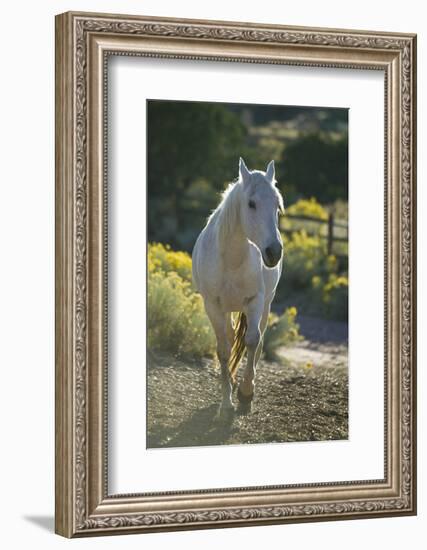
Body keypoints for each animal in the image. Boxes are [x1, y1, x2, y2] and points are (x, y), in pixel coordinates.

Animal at [193, 160, 284, 418]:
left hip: (265, 304)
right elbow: (224, 350)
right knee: (232, 336)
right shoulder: (213, 306)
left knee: (258, 340)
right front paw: (226, 403)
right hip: (227, 309)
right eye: (251, 203)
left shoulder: (255, 301)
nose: (274, 252)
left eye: (277, 205)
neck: (232, 260)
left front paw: (245, 395)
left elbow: (252, 341)